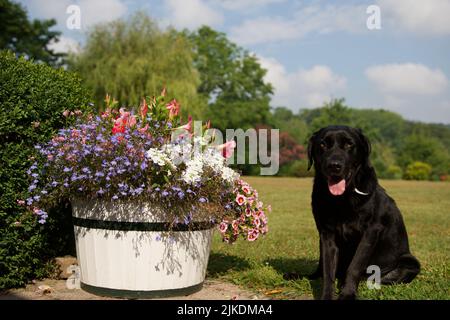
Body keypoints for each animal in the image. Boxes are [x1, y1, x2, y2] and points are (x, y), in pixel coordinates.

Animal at [308, 125, 420, 300]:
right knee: (321, 269)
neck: (342, 200)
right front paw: (327, 295)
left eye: (349, 144)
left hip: (410, 261)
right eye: (322, 145)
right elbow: (328, 270)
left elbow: (355, 266)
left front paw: (347, 294)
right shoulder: (326, 234)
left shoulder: (370, 232)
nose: (334, 165)